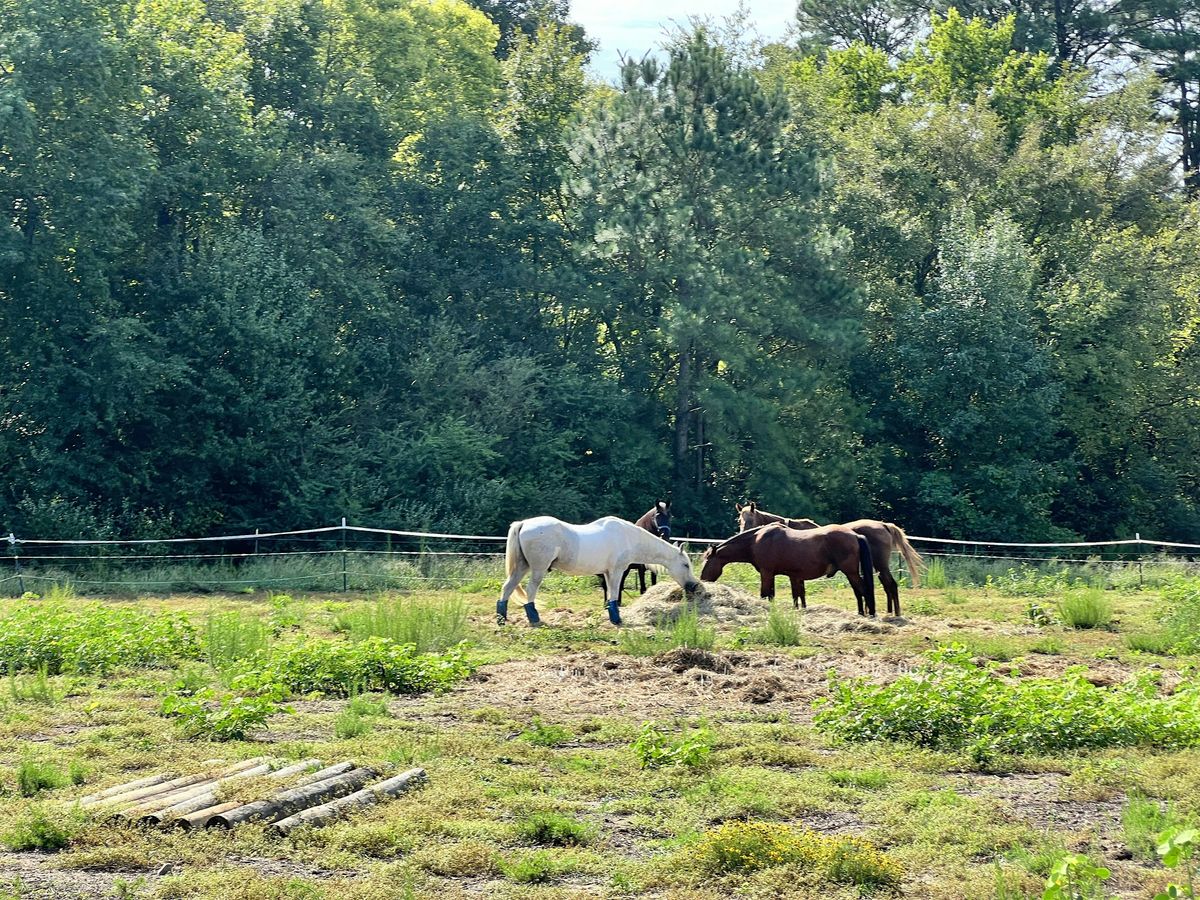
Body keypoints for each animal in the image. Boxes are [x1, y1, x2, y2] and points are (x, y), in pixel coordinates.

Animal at [496, 513, 700, 628]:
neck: (628, 537)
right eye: (685, 565)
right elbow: (614, 594)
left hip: (521, 567)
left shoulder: (608, 573)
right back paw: (534, 618)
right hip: (538, 569)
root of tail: (524, 523)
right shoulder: (617, 571)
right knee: (530, 591)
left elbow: (611, 595)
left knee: (507, 588)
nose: (693, 586)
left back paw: (501, 619)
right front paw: (617, 620)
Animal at [700, 525, 878, 619]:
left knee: (863, 590)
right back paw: (861, 613)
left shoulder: (766, 572)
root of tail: (855, 535)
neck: (756, 540)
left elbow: (764, 594)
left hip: (851, 573)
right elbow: (773, 595)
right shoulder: (776, 574)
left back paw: (870, 614)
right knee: (858, 592)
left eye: (707, 561)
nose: (702, 579)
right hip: (851, 573)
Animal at [734, 501, 921, 619]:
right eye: (739, 520)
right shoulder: (797, 574)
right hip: (878, 566)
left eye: (750, 519)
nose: (742, 533)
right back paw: (889, 612)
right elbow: (800, 593)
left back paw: (894, 613)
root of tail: (884, 525)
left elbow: (798, 593)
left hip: (879, 565)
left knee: (890, 585)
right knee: (886, 585)